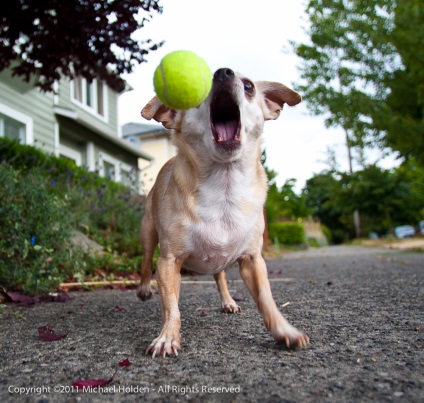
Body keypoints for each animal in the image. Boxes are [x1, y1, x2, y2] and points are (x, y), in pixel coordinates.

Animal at [138, 68, 308, 358]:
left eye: (249, 86)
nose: (223, 72)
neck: (224, 188)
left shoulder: (253, 261)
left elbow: (267, 300)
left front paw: (284, 331)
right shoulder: (169, 262)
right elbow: (171, 306)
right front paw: (168, 336)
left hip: (220, 259)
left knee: (220, 277)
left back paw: (228, 301)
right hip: (149, 233)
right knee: (146, 259)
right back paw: (144, 288)